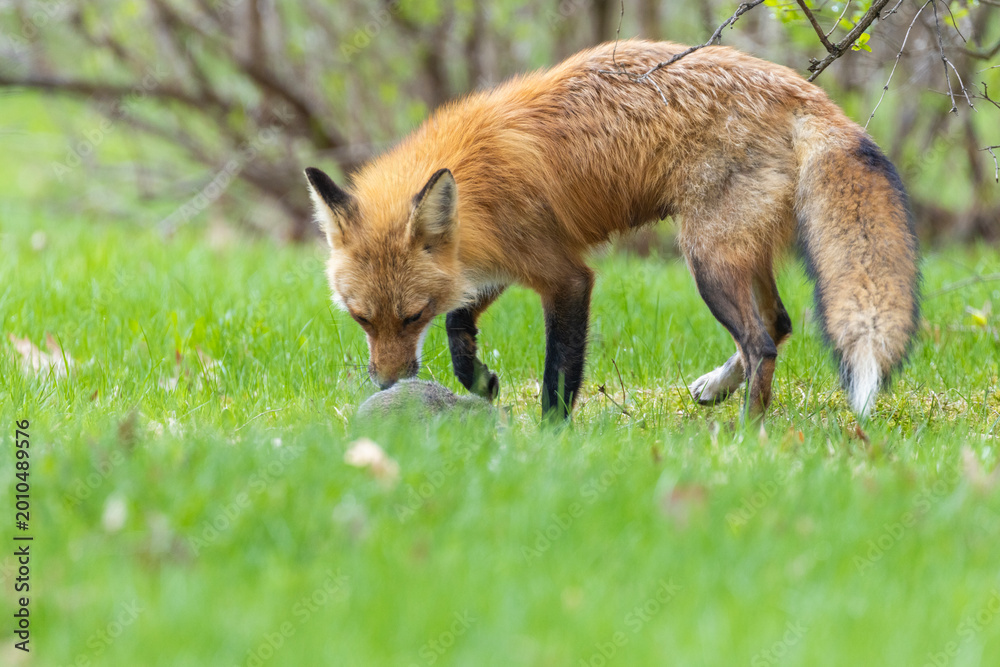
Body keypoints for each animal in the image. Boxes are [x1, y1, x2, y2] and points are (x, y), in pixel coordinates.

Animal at [305, 39, 920, 421]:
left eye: (412, 318)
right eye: (362, 318)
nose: (387, 386)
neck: (476, 180)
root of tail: (803, 89)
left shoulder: (565, 276)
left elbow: (558, 374)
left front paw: (551, 440)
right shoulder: (501, 260)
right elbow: (459, 321)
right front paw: (478, 379)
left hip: (706, 258)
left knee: (762, 341)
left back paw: (747, 433)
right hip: (738, 251)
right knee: (780, 322)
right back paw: (719, 389)